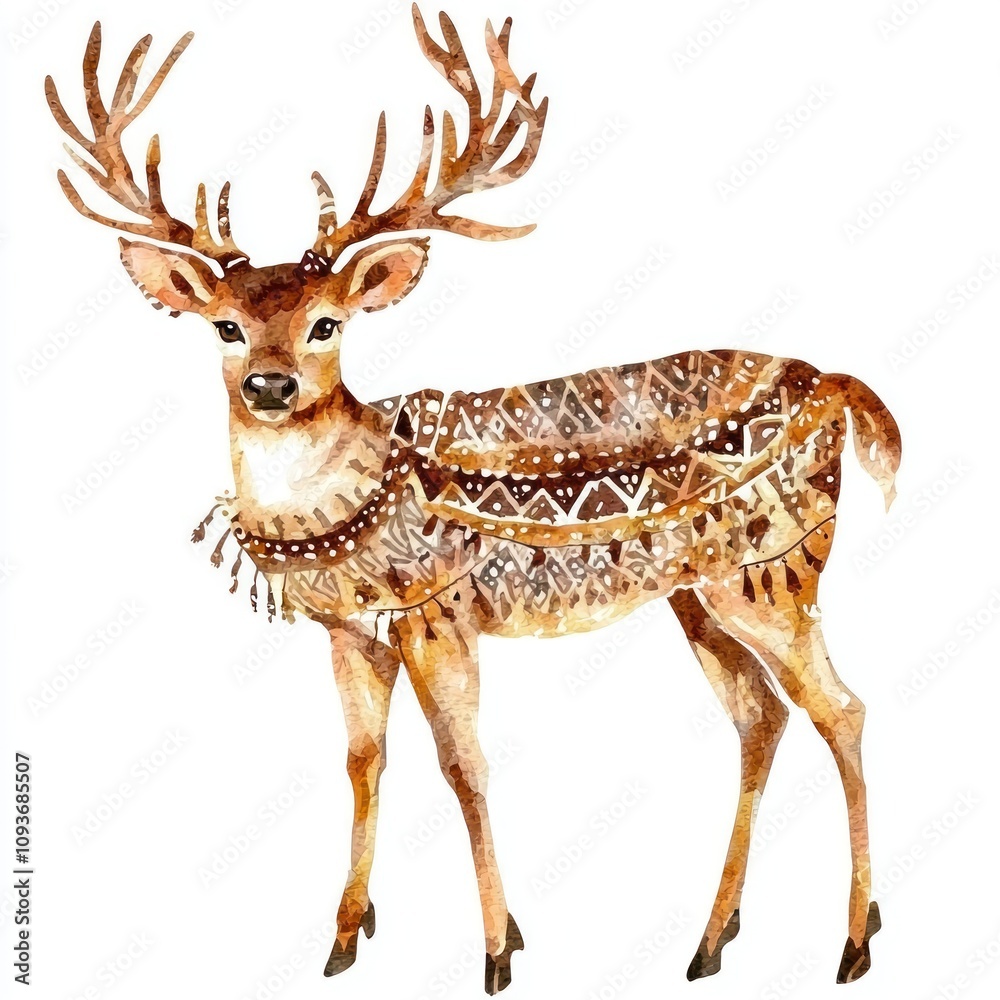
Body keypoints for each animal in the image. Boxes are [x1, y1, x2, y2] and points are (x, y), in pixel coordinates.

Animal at [47, 7, 899, 993]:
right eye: (225, 325)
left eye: (327, 322)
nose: (269, 384)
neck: (356, 499)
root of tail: (837, 384)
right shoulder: (350, 632)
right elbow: (363, 760)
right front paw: (344, 936)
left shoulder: (439, 610)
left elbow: (463, 765)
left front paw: (499, 949)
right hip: (695, 593)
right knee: (761, 717)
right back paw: (711, 941)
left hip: (771, 570)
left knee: (843, 708)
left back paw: (854, 942)